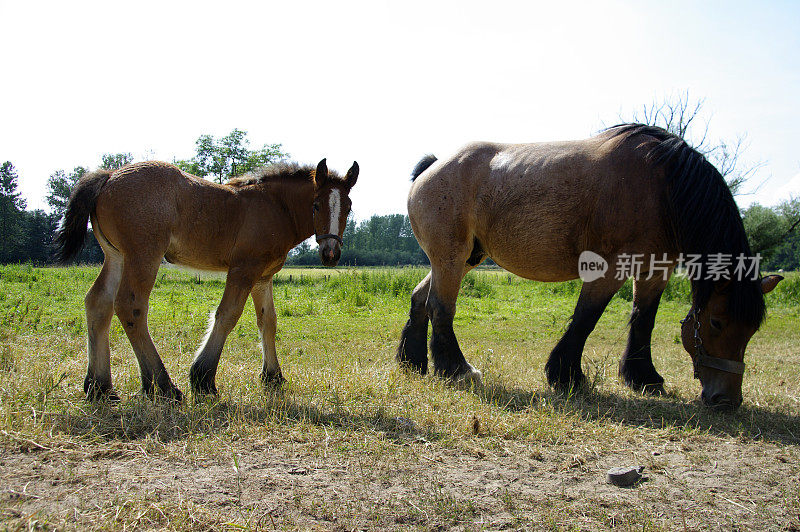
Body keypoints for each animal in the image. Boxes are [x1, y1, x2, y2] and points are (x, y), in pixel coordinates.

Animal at [56, 160, 356, 402]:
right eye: (315, 205)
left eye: (349, 208)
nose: (331, 253)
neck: (274, 207)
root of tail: (108, 176)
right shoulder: (243, 270)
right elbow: (227, 315)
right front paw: (203, 379)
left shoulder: (263, 277)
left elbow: (267, 322)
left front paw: (272, 377)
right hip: (143, 255)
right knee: (131, 307)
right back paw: (163, 386)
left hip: (116, 256)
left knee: (98, 303)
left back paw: (99, 387)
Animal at [398, 125, 780, 412]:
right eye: (716, 322)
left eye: (752, 329)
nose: (726, 399)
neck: (663, 187)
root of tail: (432, 167)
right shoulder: (609, 267)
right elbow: (586, 318)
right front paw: (566, 376)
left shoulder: (656, 270)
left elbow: (644, 319)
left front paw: (644, 378)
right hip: (451, 258)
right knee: (440, 307)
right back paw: (456, 370)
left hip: (463, 259)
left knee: (420, 300)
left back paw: (412, 362)